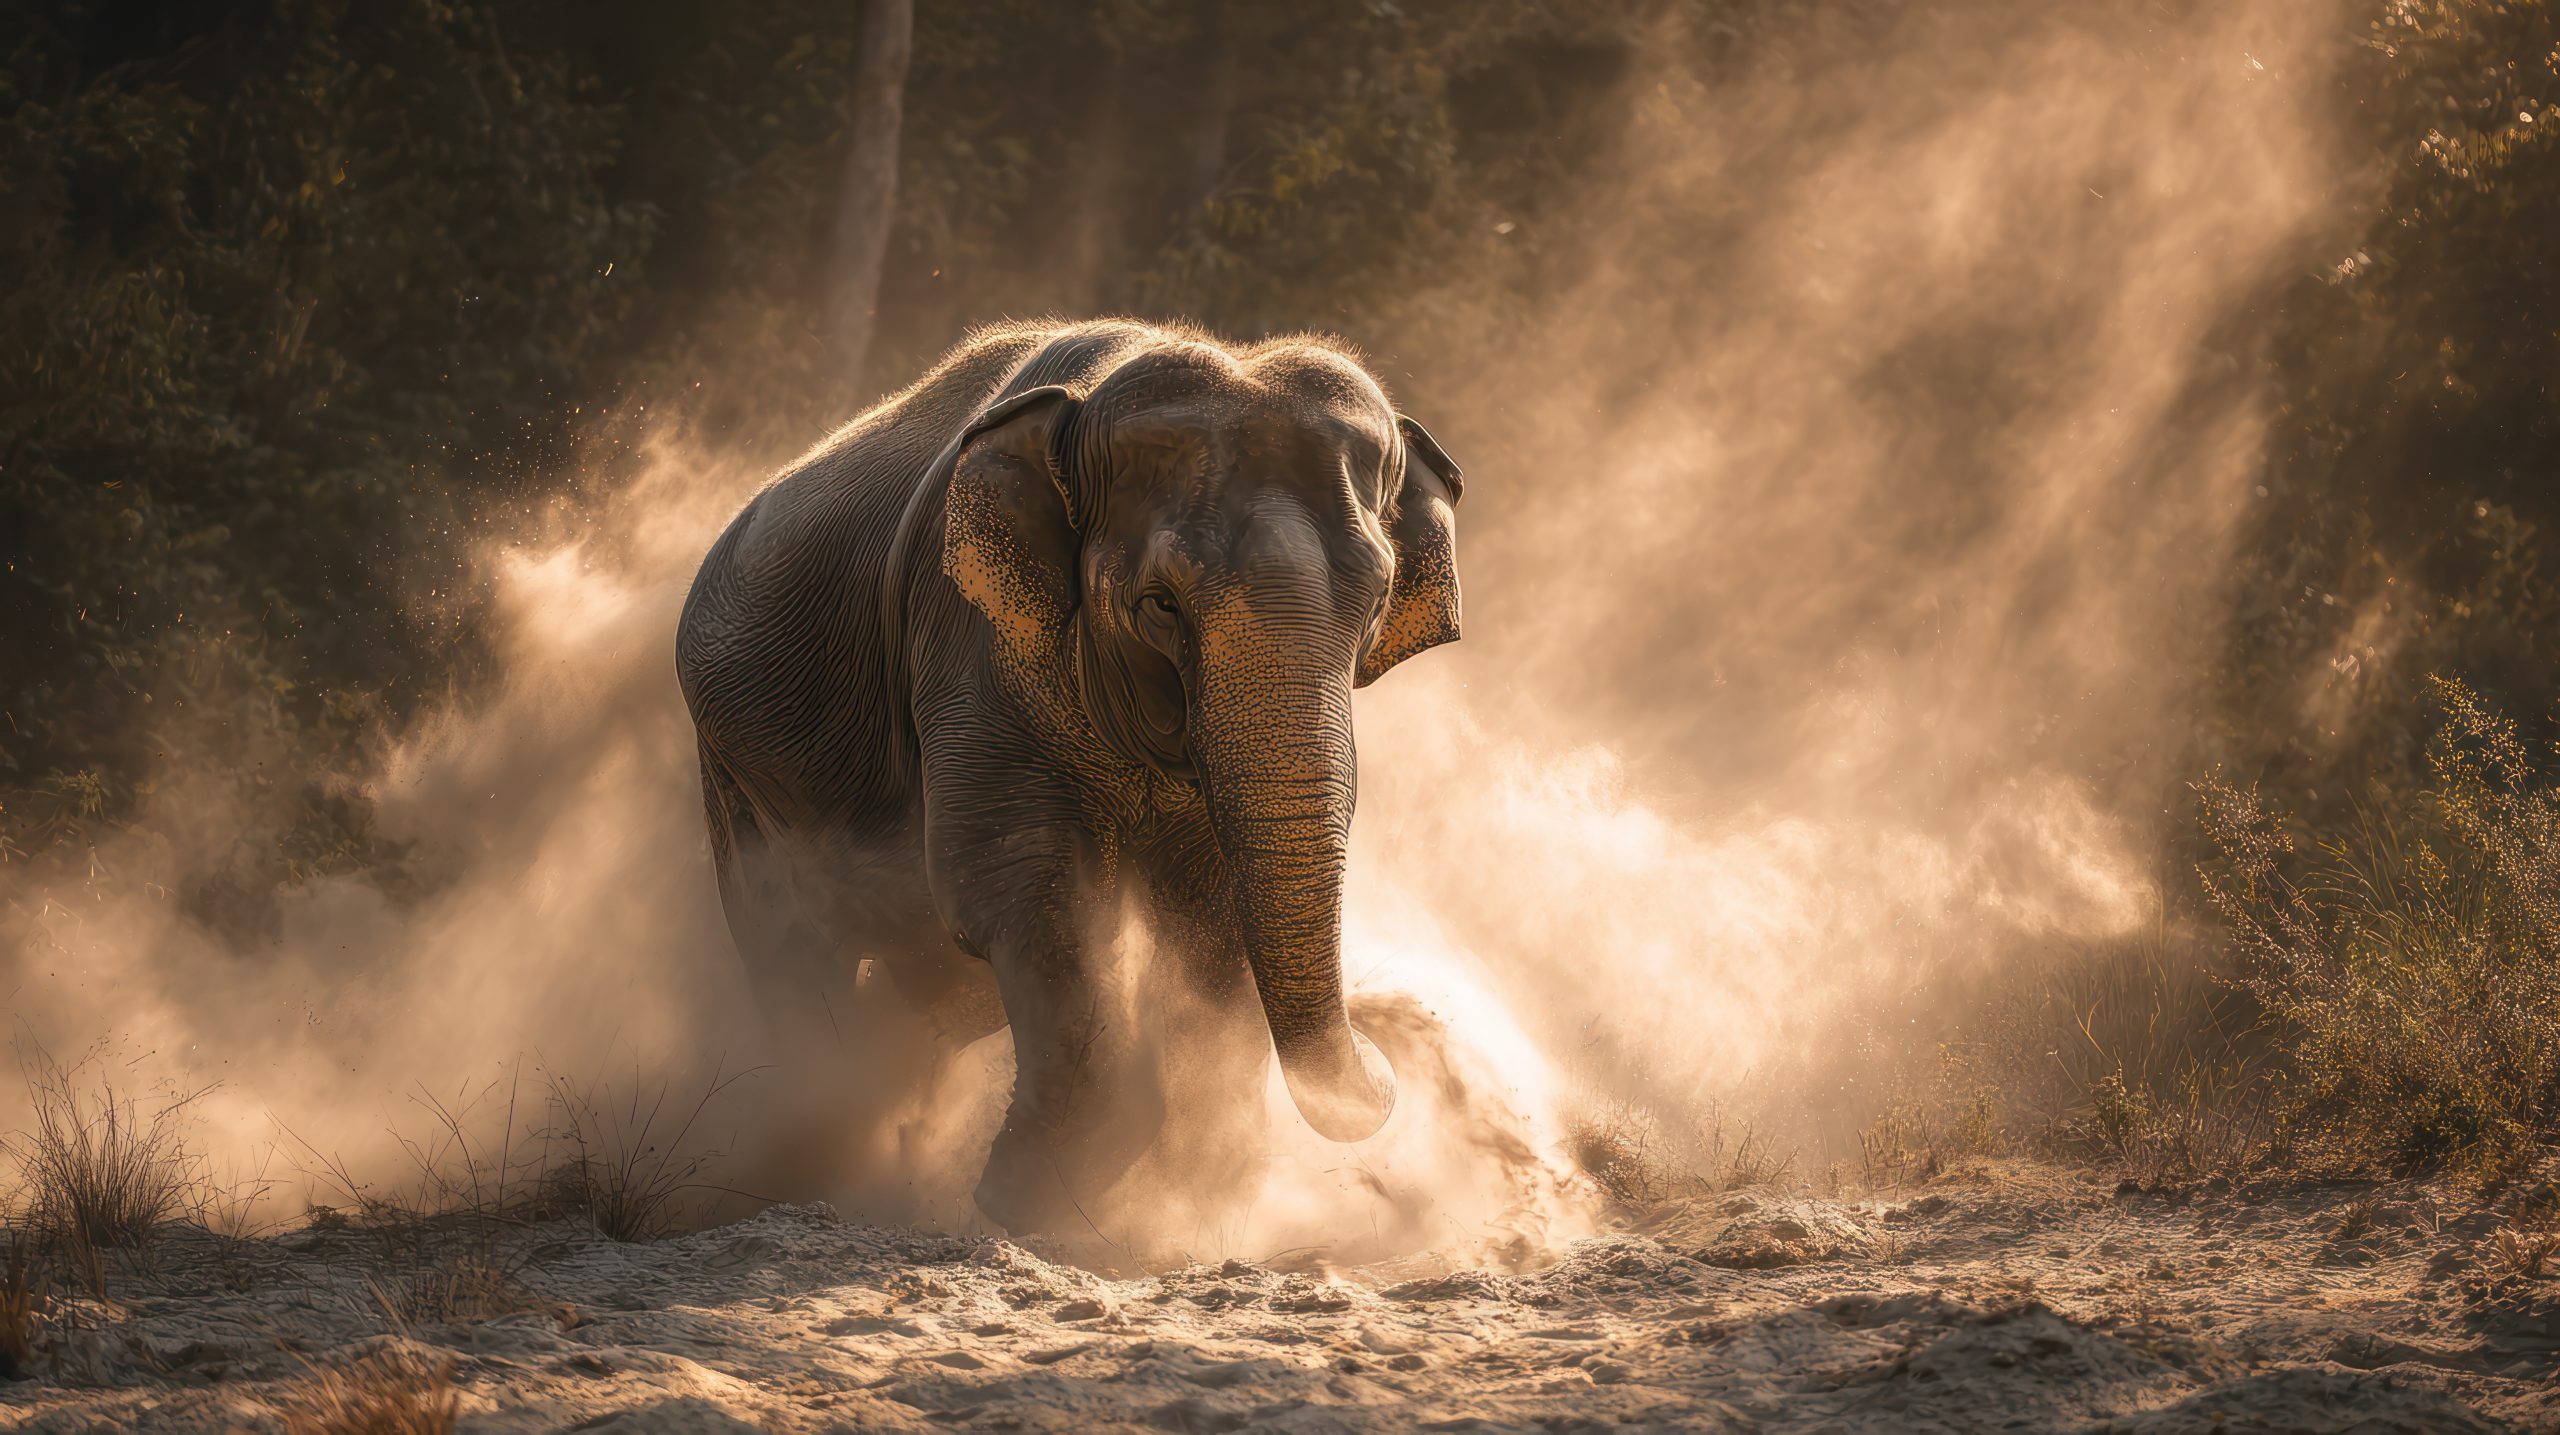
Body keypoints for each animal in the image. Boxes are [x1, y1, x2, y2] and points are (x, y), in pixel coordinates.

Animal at [674, 317, 1465, 1239]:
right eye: (1160, 604)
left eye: (1375, 604)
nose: (1399, 1048)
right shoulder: (970, 643)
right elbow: (1016, 880)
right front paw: (1021, 1198)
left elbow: (1211, 911)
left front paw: (1180, 1196)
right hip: (731, 761)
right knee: (789, 934)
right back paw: (829, 1144)